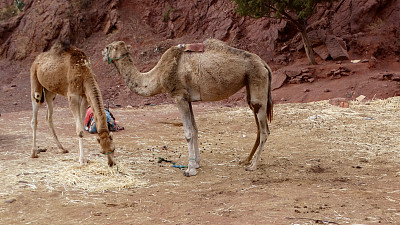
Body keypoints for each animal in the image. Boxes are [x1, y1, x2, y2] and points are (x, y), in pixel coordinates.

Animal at [103, 38, 274, 176]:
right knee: (258, 126)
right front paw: (196, 163)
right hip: (250, 86)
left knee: (265, 130)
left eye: (109, 46)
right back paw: (246, 160)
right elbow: (195, 129)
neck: (158, 75)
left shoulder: (179, 96)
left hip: (258, 81)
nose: (102, 52)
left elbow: (188, 132)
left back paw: (253, 165)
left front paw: (189, 169)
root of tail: (264, 64)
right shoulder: (188, 99)